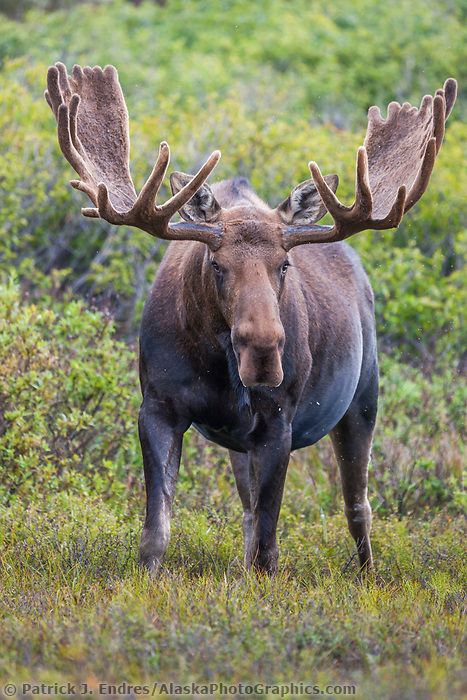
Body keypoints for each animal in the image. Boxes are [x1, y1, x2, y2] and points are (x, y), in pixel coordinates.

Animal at [46, 64, 458, 576]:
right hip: (246, 441)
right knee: (248, 510)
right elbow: (157, 533)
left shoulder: (278, 422)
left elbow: (268, 546)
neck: (216, 366)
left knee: (356, 506)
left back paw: (368, 576)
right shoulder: (158, 407)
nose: (263, 352)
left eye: (284, 264)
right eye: (216, 263)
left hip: (364, 398)